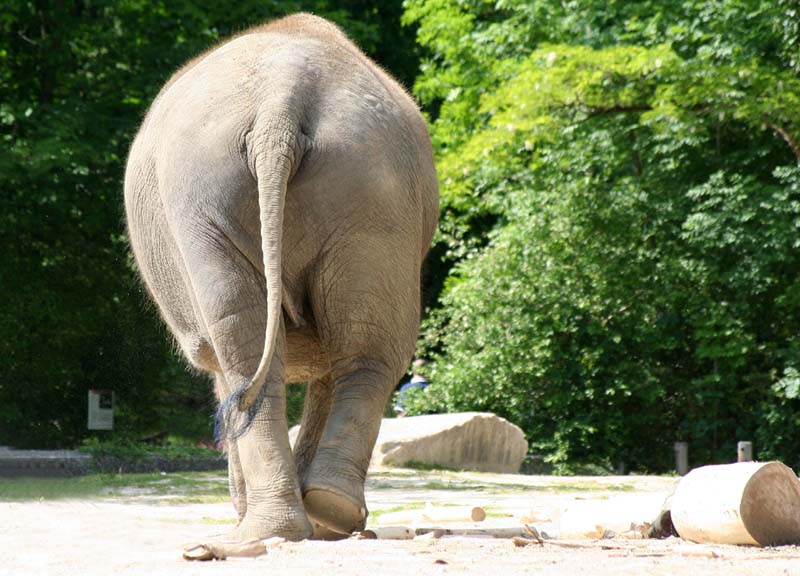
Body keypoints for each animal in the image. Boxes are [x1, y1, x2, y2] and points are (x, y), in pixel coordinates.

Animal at [124, 13, 438, 544]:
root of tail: (281, 101)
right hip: (369, 190)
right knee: (360, 347)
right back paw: (317, 516)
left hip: (206, 198)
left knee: (250, 354)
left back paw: (279, 526)